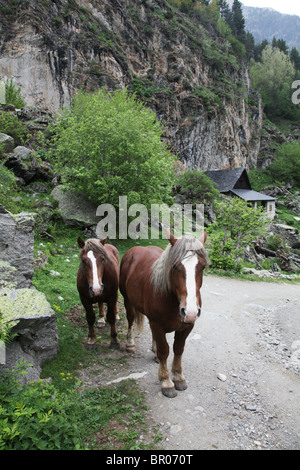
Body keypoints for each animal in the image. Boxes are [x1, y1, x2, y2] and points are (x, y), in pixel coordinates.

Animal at [119, 231, 209, 396]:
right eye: (175, 266)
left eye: (202, 266)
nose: (190, 311)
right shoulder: (157, 324)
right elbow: (164, 350)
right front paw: (166, 382)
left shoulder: (187, 326)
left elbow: (178, 348)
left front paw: (178, 377)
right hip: (128, 301)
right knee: (130, 320)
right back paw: (130, 344)